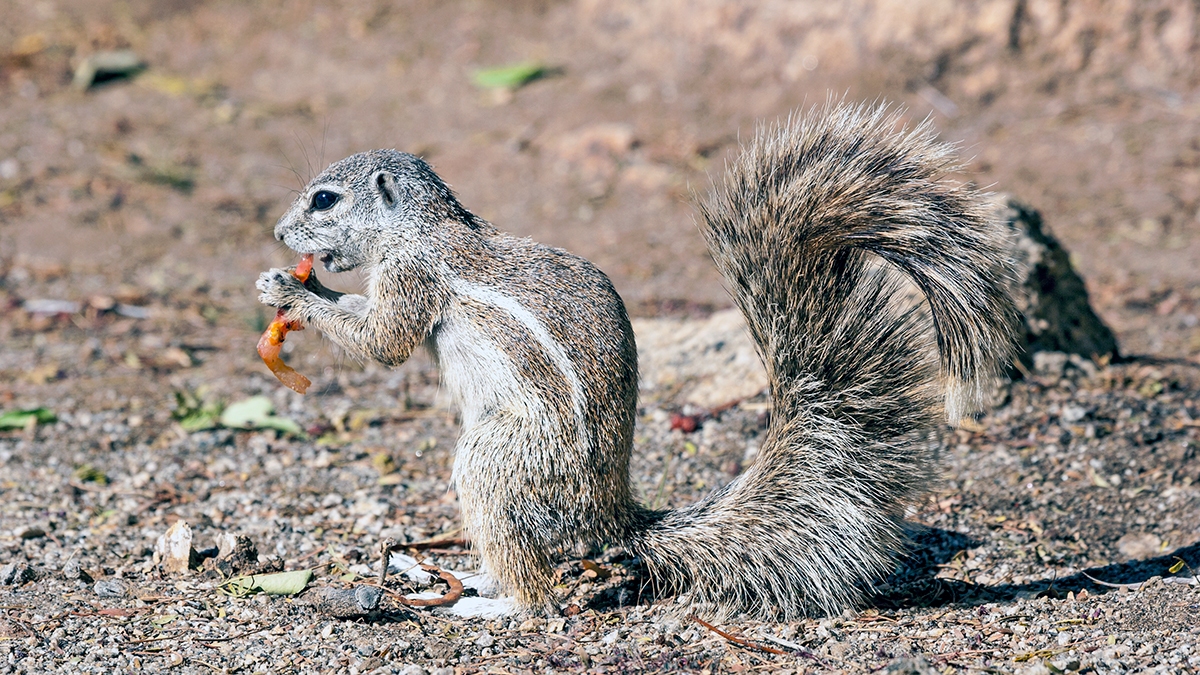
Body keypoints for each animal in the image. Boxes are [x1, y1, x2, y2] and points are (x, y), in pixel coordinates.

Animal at [256, 101, 1018, 620]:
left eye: (325, 199)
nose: (280, 233)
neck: (421, 228)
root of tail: (611, 516)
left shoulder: (412, 275)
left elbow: (385, 342)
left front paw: (292, 290)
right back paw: (469, 578)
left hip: (499, 460)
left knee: (537, 588)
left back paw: (494, 603)